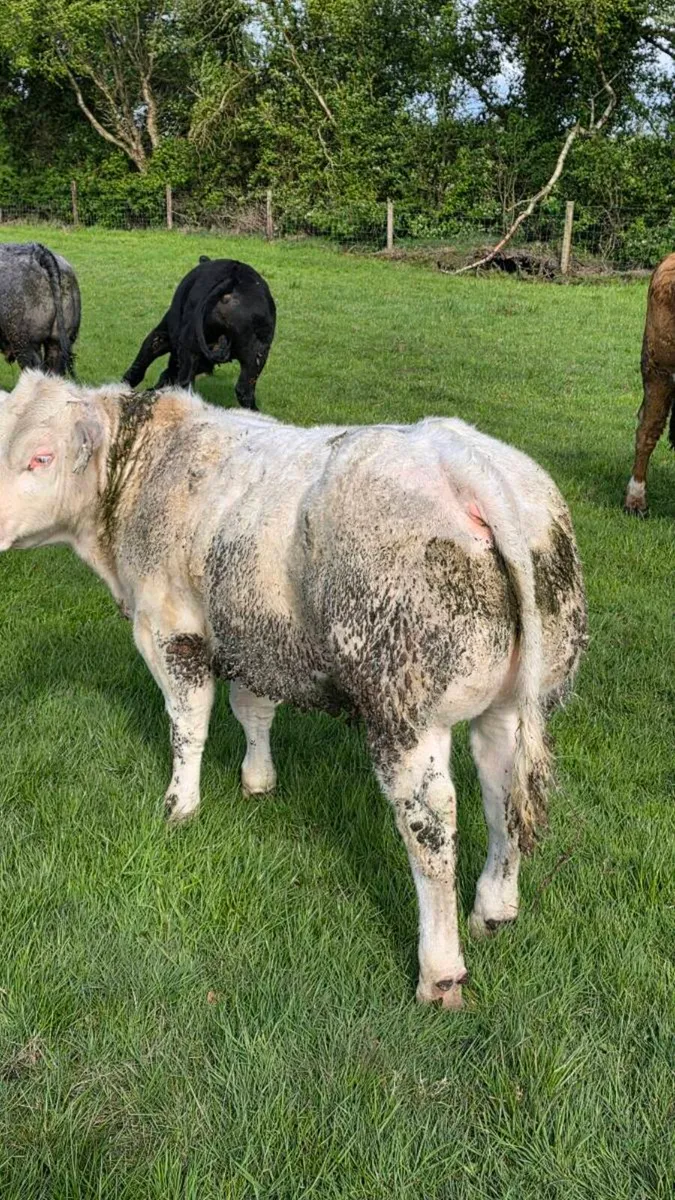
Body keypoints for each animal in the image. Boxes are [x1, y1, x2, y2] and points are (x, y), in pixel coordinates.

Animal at [0, 372, 587, 1009]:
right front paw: (258, 781)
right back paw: (495, 910)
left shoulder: (171, 628)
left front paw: (179, 806)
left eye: (41, 457)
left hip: (405, 711)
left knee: (430, 826)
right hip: (514, 702)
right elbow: (252, 708)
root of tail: (461, 454)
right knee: (502, 792)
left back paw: (440, 973)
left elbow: (188, 723)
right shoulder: (256, 635)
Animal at [123, 256, 276, 409]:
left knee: (184, 383)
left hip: (189, 345)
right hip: (257, 354)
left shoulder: (162, 334)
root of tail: (233, 278)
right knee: (244, 391)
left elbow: (141, 362)